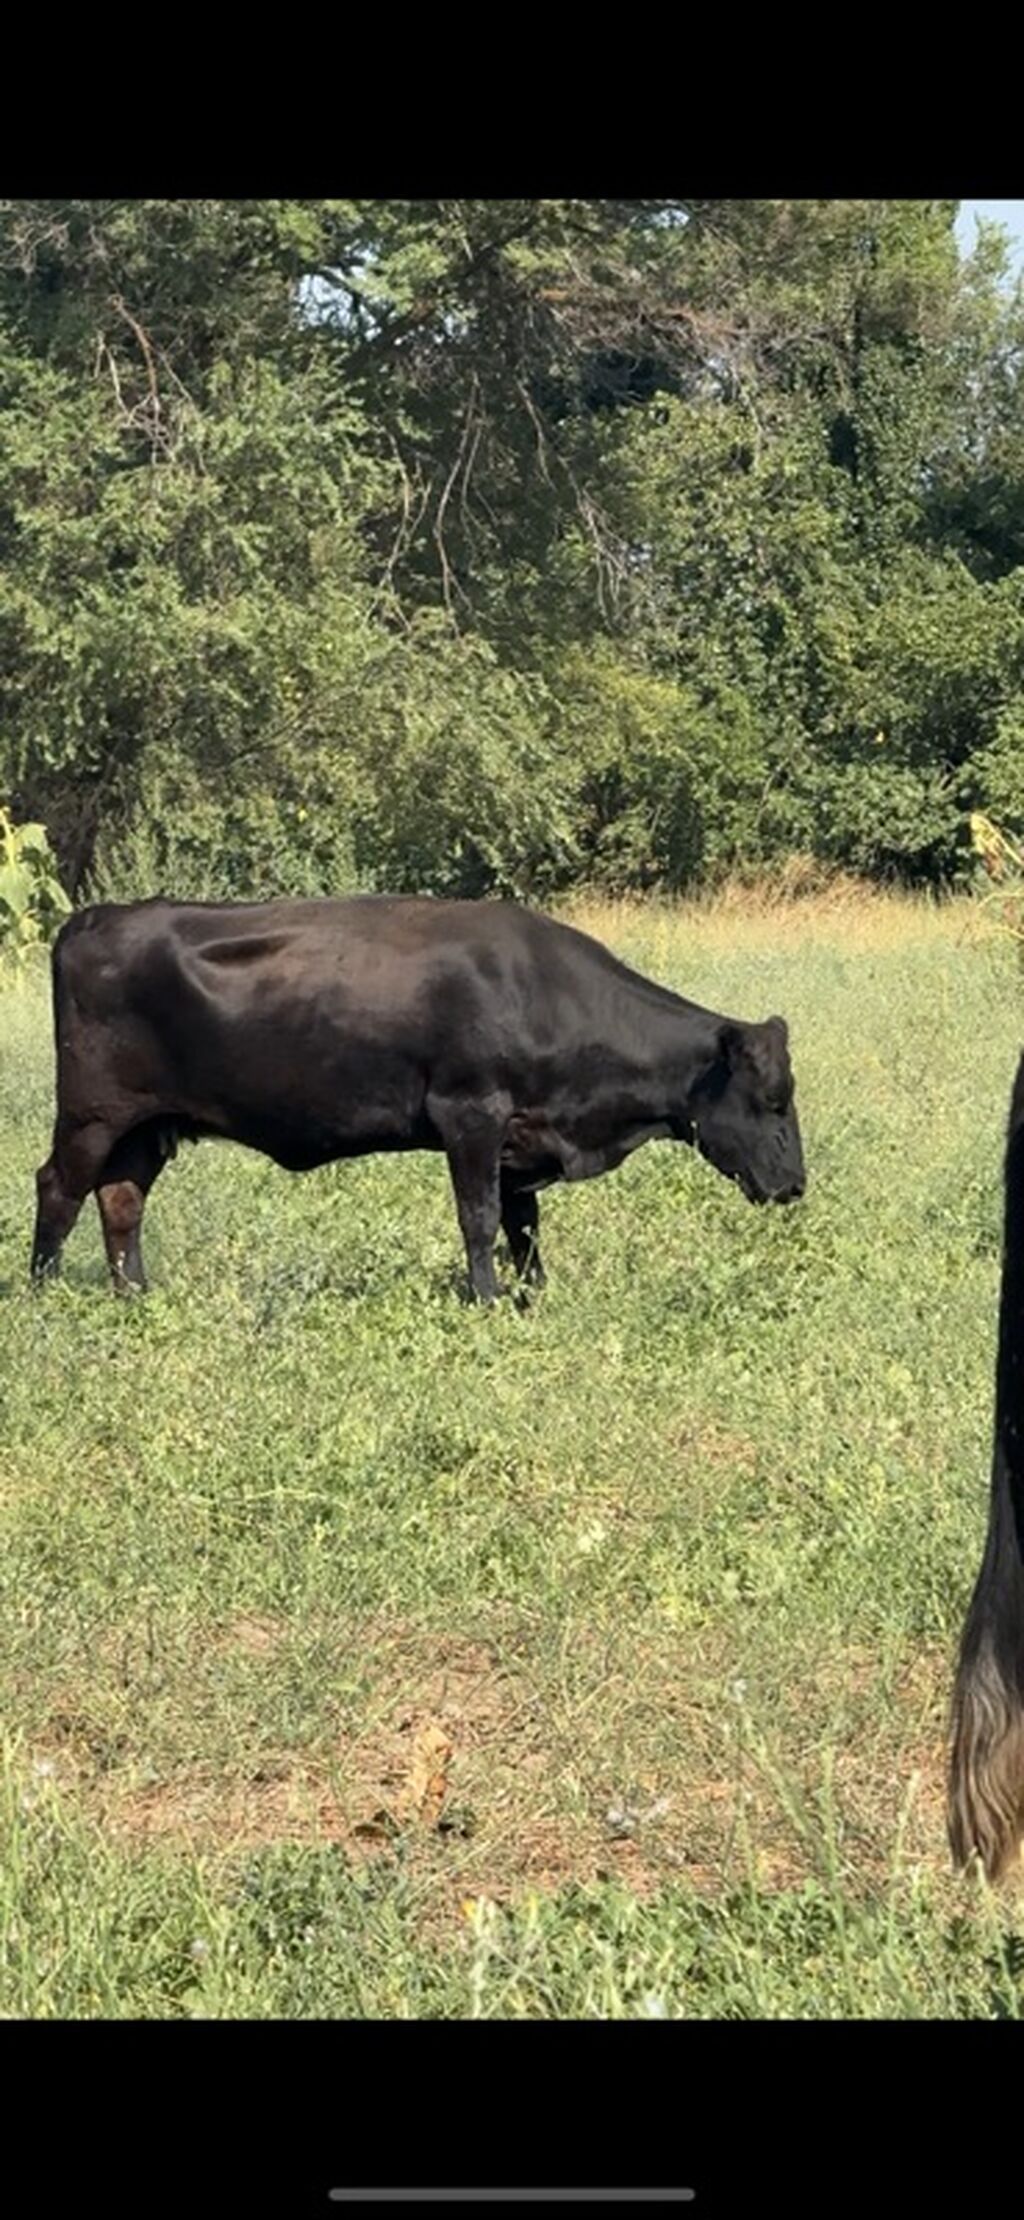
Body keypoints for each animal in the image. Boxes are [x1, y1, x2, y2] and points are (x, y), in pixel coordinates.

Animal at [31, 894, 806, 1303]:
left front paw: (533, 1297)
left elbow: (525, 1227)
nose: (796, 1185)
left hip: (144, 1127)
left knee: (122, 1201)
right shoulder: (471, 1115)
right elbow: (481, 1220)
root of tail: (94, 917)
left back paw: (135, 1294)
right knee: (58, 1189)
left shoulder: (520, 1140)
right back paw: (43, 1294)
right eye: (773, 1100)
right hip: (90, 1115)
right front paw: (488, 1300)